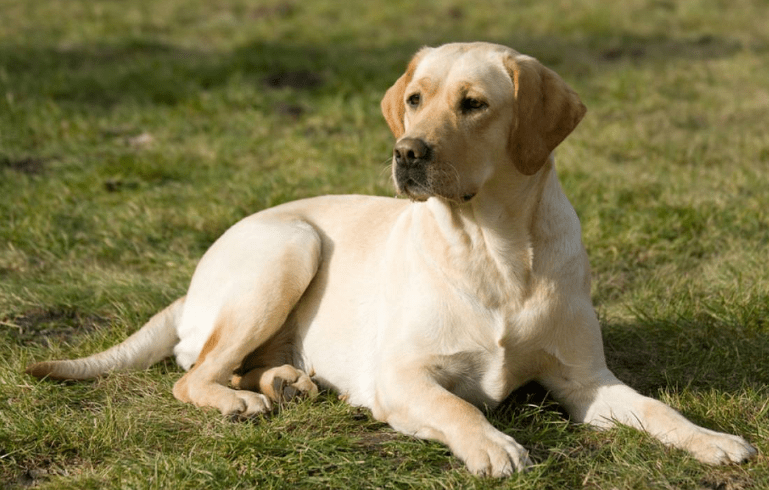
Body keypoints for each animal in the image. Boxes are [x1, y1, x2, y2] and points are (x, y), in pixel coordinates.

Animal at [25, 43, 756, 478]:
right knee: (192, 373)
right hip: (292, 245)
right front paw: (492, 446)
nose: (407, 152)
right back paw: (243, 401)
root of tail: (194, 280)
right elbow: (459, 409)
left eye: (473, 104)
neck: (493, 248)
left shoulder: (585, 380)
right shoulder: (401, 377)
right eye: (414, 98)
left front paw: (712, 439)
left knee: (226, 365)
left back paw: (283, 382)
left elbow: (657, 410)